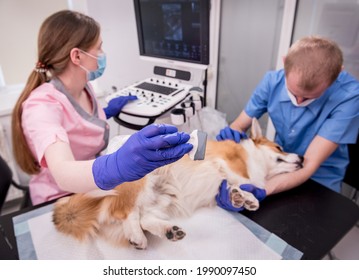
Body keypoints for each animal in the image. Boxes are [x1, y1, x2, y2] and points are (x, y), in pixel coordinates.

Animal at [52, 118, 302, 249]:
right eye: (279, 148)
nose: (302, 158)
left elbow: (234, 187)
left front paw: (243, 198)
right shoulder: (230, 163)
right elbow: (240, 178)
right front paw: (246, 192)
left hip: (164, 197)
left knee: (144, 217)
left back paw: (167, 230)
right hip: (142, 178)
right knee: (127, 212)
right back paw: (137, 236)